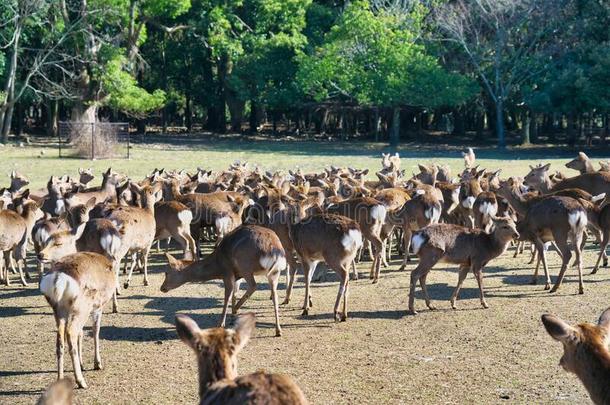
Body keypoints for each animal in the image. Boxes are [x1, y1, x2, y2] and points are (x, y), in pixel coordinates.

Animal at [40, 252, 117, 388]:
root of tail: (58, 278)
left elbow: (82, 333)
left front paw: (82, 364)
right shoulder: (98, 307)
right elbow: (96, 330)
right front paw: (97, 364)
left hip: (59, 311)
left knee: (60, 339)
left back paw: (60, 378)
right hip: (82, 308)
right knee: (71, 333)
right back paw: (81, 381)